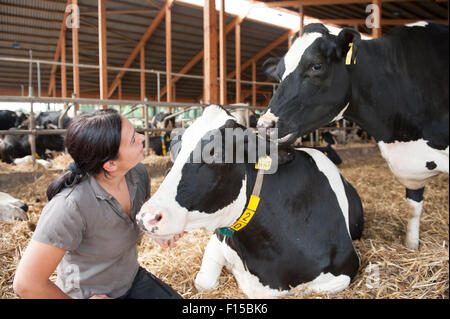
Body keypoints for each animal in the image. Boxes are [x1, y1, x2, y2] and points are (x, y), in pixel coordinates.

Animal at [135, 106, 364, 298]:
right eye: (175, 149)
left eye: (217, 153)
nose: (147, 217)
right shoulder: (219, 238)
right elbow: (204, 283)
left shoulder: (345, 269)